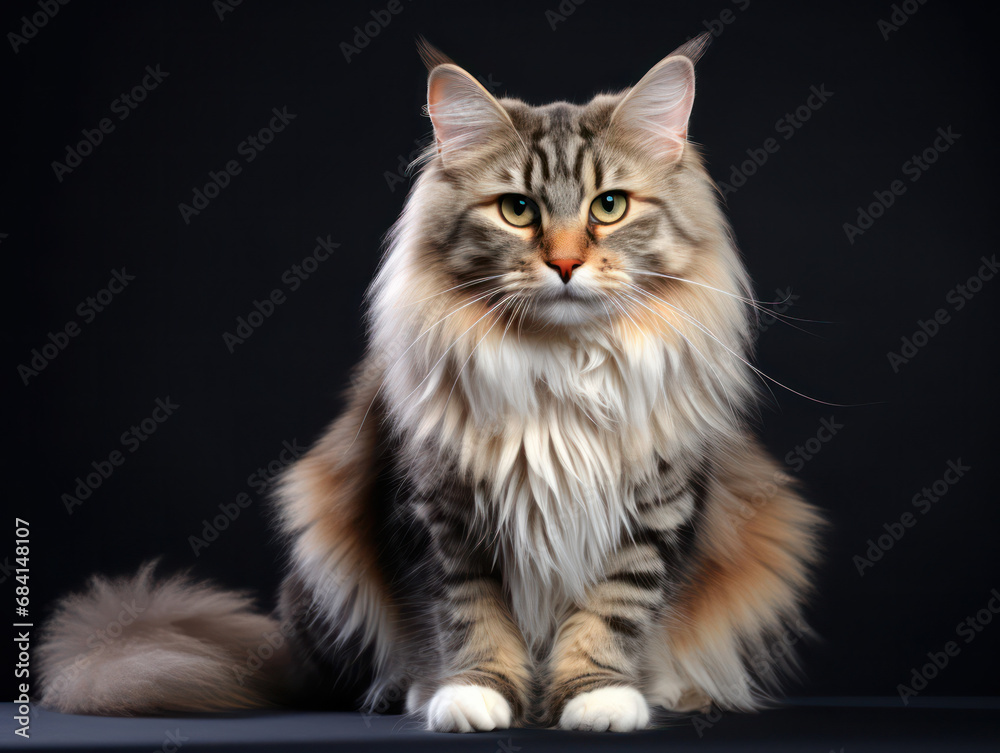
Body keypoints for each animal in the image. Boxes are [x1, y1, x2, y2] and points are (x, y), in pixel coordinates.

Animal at [37, 32, 820, 732]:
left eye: (609, 206)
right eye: (518, 210)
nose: (566, 264)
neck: (559, 366)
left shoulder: (655, 506)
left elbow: (613, 610)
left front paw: (598, 697)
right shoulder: (443, 510)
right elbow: (470, 615)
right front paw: (473, 695)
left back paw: (676, 691)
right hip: (319, 536)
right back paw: (406, 691)